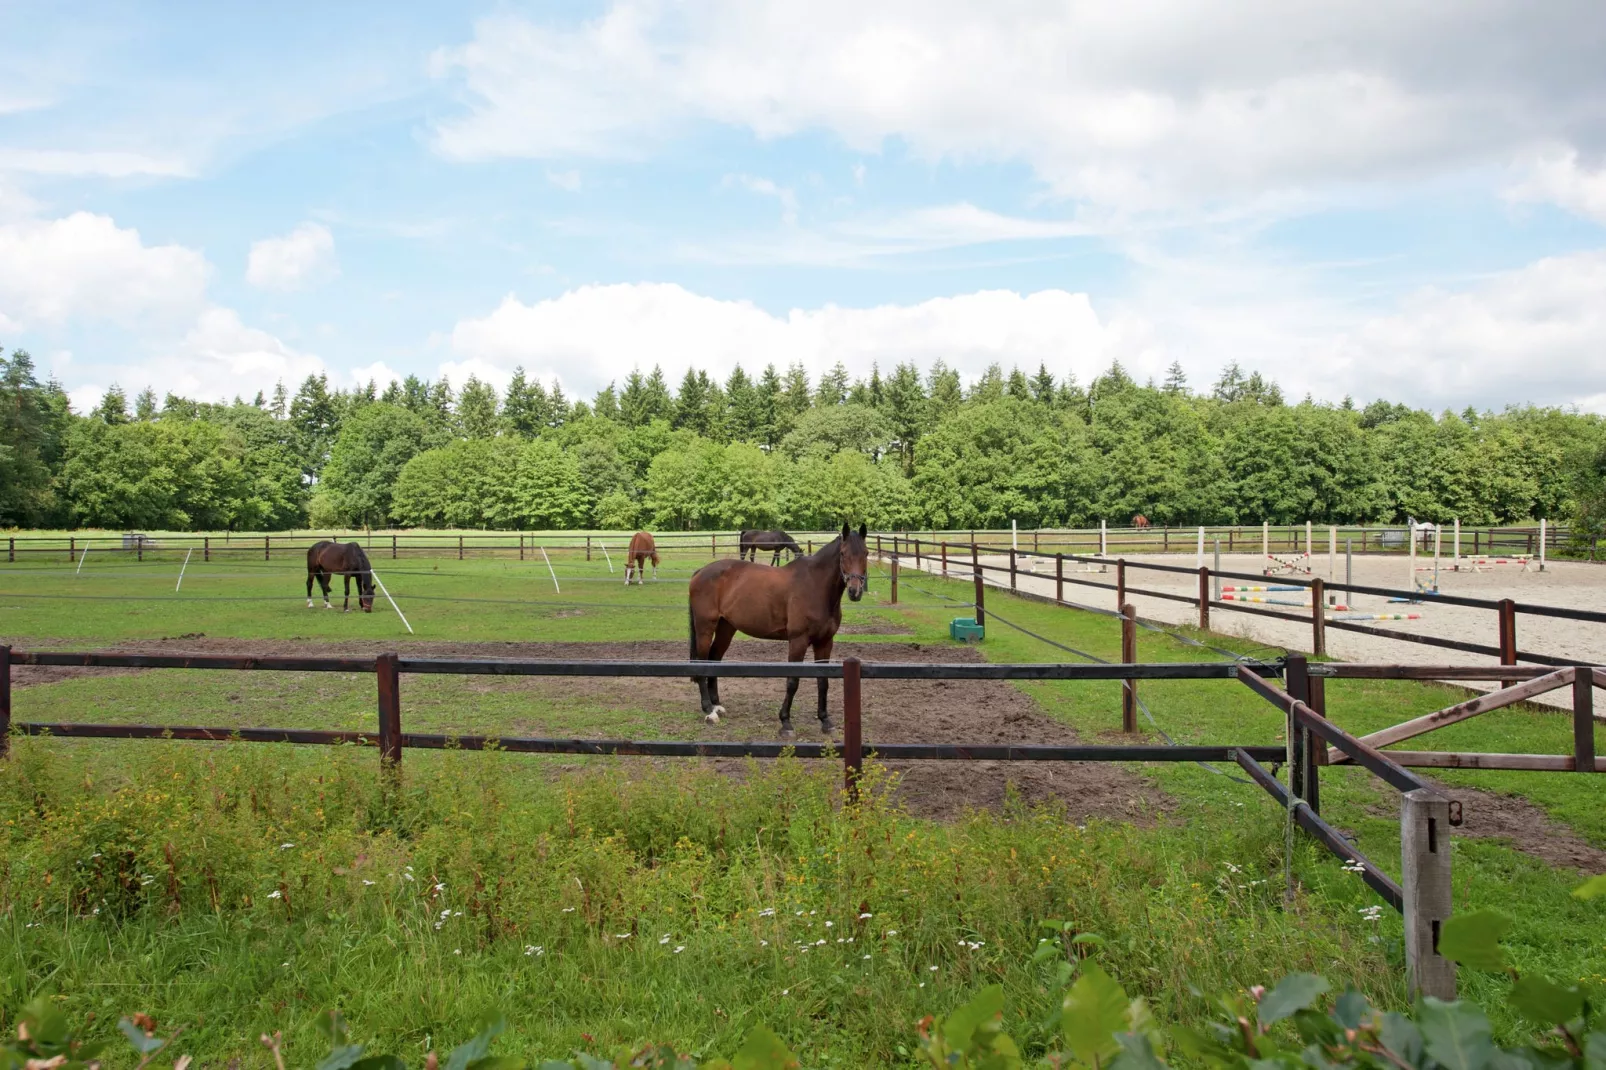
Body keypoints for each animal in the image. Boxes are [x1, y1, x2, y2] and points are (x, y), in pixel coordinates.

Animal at [687, 523, 873, 739]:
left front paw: (825, 721)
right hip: (705, 627)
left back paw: (716, 705)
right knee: (701, 662)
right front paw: (786, 722)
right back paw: (708, 710)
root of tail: (700, 572)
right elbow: (792, 681)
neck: (816, 585)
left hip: (726, 628)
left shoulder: (825, 642)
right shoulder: (798, 641)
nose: (855, 591)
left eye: (866, 553)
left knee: (714, 659)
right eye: (843, 553)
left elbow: (823, 681)